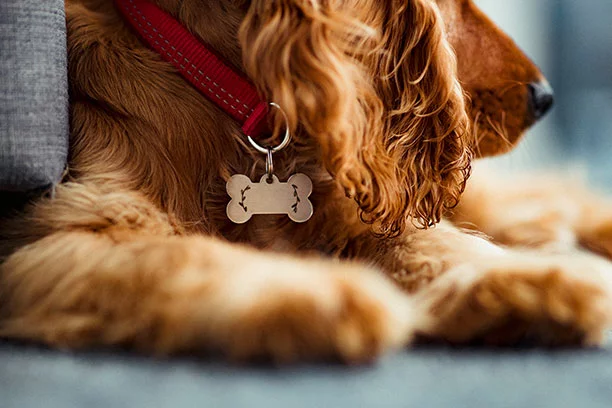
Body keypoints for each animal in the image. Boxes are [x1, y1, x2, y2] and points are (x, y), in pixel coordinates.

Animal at [1, 0, 612, 364]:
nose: (545, 97)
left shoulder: (349, 210)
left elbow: (433, 243)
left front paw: (542, 282)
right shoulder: (65, 234)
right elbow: (182, 255)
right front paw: (323, 293)